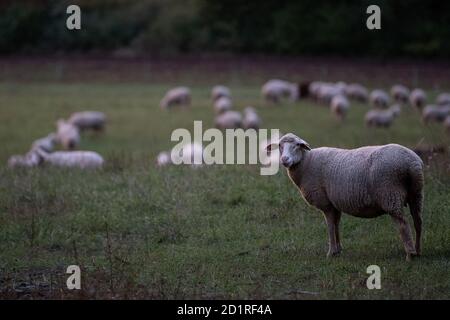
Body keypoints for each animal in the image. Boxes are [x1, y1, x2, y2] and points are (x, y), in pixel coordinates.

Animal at [268, 132, 426, 260]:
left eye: (297, 145)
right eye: (280, 146)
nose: (284, 160)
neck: (307, 161)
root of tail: (411, 163)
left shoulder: (326, 203)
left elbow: (330, 226)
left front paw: (331, 252)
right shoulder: (334, 203)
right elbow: (336, 224)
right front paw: (338, 249)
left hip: (390, 193)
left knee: (403, 224)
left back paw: (410, 254)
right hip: (416, 193)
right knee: (418, 221)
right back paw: (418, 251)